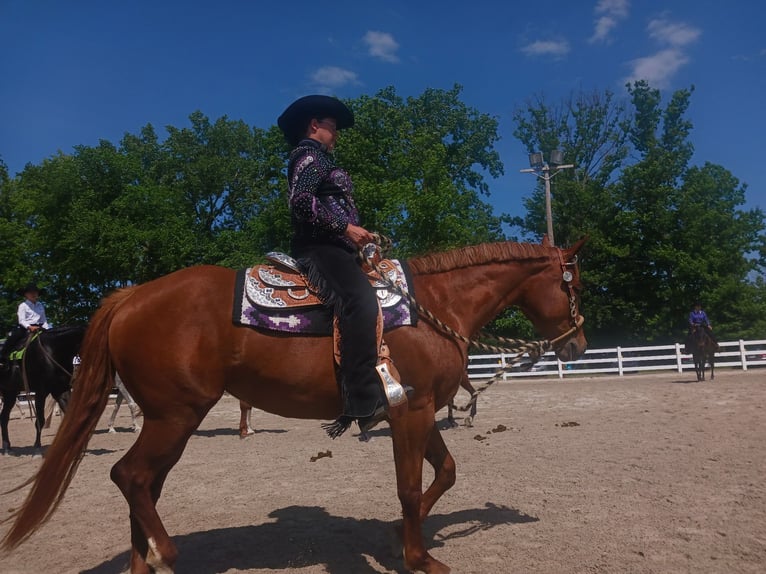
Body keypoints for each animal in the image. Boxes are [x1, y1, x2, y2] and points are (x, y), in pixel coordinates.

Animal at [0, 325, 85, 455]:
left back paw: (7, 448)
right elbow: (40, 420)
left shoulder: (61, 390)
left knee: (4, 417)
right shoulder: (41, 392)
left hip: (10, 393)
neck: (53, 352)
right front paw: (37, 449)